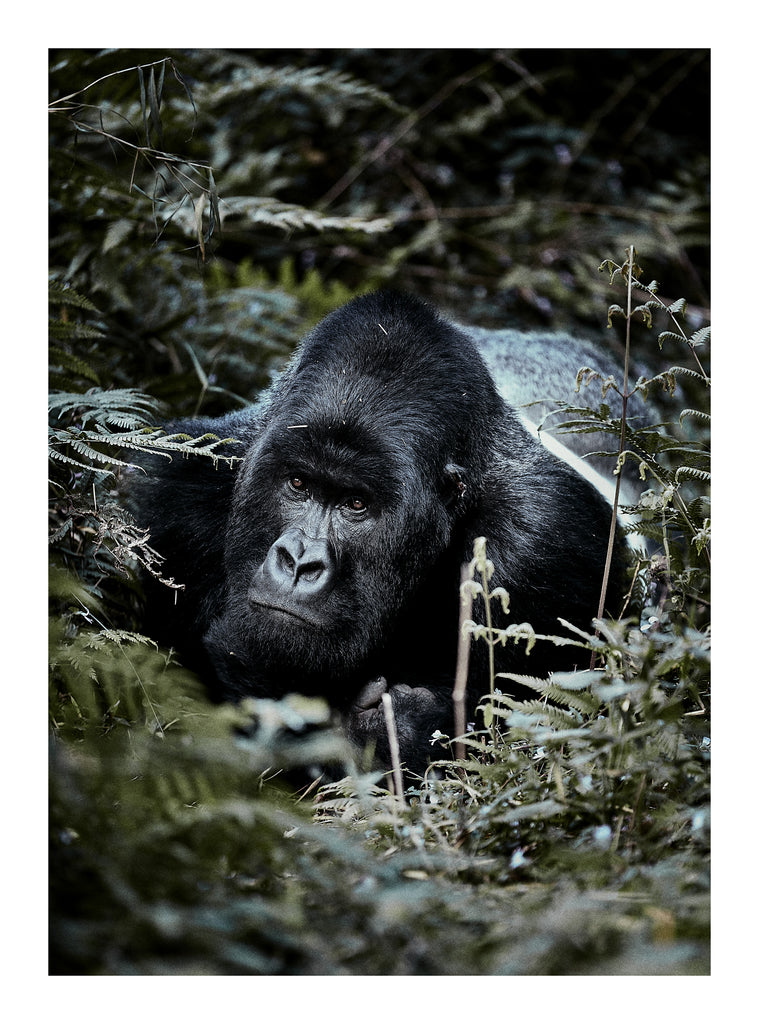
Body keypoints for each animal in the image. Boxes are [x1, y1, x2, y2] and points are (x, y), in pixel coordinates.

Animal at [133, 292, 630, 770]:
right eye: (299, 484)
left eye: (356, 504)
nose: (299, 562)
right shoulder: (179, 493)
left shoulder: (545, 543)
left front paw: (395, 729)